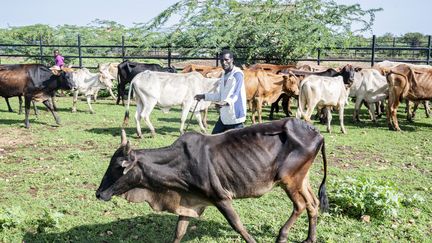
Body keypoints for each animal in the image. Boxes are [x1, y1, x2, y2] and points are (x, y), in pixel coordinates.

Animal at [96, 117, 330, 241]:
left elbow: (239, 226)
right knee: (313, 203)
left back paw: (282, 235)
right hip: (302, 179)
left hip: (288, 179)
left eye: (117, 167)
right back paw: (310, 238)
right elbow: (179, 233)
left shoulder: (220, 198)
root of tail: (316, 132)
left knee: (300, 205)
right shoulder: (188, 201)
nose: (99, 193)